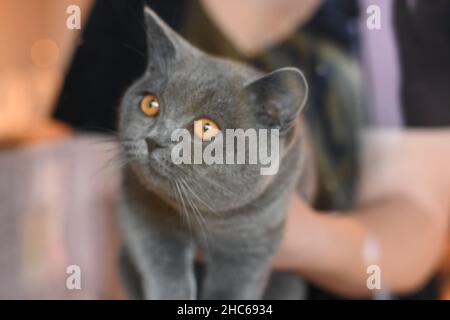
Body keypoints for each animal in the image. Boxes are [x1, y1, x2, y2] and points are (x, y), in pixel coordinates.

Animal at [118, 7, 314, 300]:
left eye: (206, 128)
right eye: (150, 104)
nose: (153, 140)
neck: (203, 219)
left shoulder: (254, 239)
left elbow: (231, 288)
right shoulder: (142, 205)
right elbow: (162, 259)